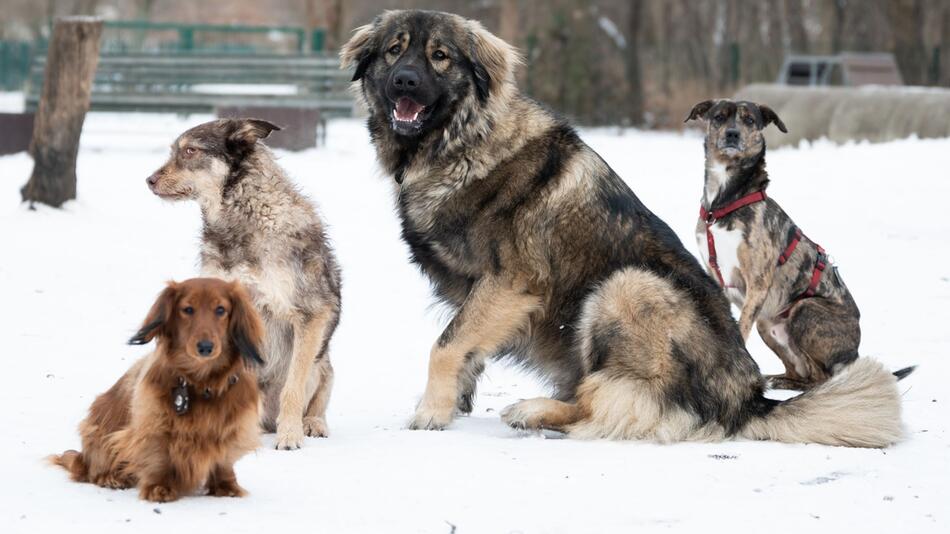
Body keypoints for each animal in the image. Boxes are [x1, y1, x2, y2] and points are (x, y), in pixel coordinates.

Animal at [54, 278, 266, 504]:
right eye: (188, 309)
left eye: (220, 310)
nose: (205, 347)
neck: (201, 382)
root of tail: (81, 458)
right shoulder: (153, 423)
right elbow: (158, 456)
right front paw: (159, 487)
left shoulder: (234, 426)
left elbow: (224, 460)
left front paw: (226, 486)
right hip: (98, 433)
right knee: (95, 469)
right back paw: (110, 477)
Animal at [147, 119, 340, 450]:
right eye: (175, 150)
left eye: (190, 151)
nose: (149, 180)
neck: (241, 219)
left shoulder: (311, 314)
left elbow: (293, 387)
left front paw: (290, 435)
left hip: (323, 363)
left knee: (315, 400)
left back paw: (311, 423)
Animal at [684, 98, 916, 392]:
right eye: (719, 117)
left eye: (749, 120)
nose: (732, 135)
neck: (725, 203)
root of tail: (853, 355)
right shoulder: (717, 278)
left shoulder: (757, 281)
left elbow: (740, 330)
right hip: (768, 325)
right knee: (800, 373)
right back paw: (776, 379)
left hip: (805, 310)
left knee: (821, 377)